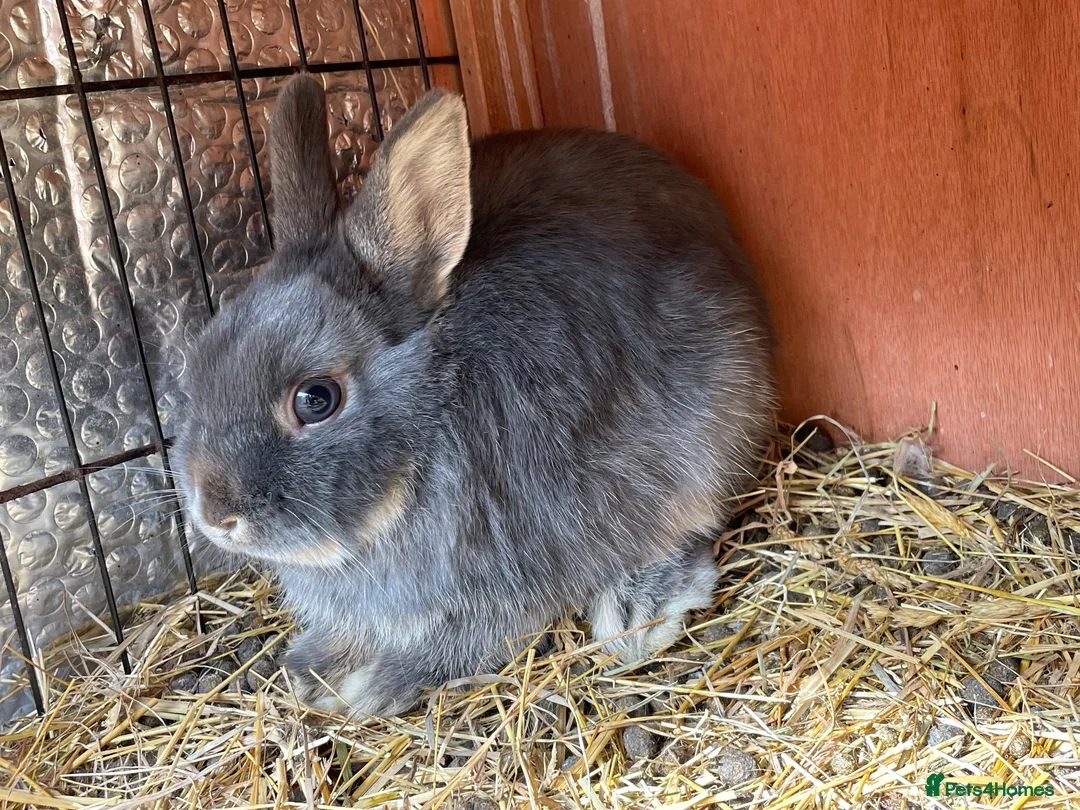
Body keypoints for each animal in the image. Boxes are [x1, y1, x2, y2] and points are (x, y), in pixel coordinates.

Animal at [173, 74, 776, 717]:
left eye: (315, 399)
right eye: (198, 363)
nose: (215, 515)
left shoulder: (517, 561)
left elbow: (476, 634)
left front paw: (379, 684)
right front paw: (316, 666)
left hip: (710, 436)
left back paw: (638, 609)